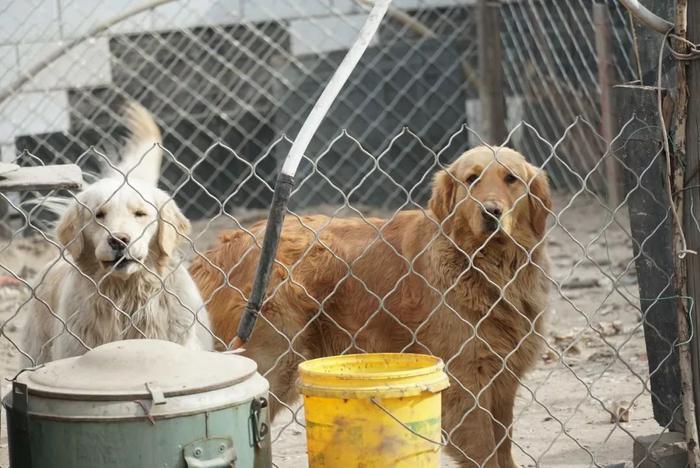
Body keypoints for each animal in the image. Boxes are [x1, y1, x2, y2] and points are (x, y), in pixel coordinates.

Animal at [190, 144, 552, 466]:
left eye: (511, 179)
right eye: (472, 179)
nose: (491, 211)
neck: (484, 264)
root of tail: (216, 251)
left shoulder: (502, 382)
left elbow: (503, 449)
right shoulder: (465, 381)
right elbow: (486, 452)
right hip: (271, 361)